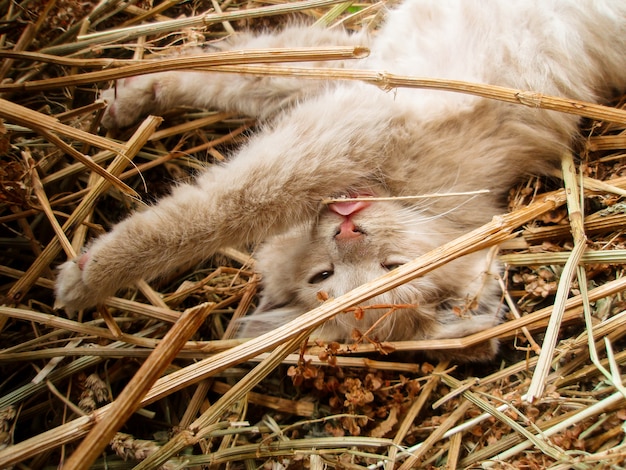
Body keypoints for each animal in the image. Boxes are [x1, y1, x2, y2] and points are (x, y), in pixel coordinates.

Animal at [54, 0, 624, 362]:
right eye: (322, 277)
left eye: (391, 267)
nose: (347, 228)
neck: (415, 197)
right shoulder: (349, 96)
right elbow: (239, 76)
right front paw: (135, 93)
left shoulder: (332, 127)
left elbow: (222, 203)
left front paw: (89, 274)